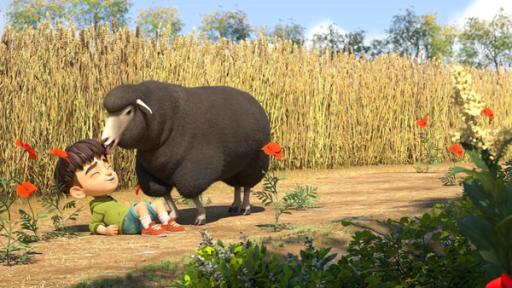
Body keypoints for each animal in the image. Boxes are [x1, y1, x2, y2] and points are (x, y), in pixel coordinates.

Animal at [97, 80, 270, 225]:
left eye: (128, 112)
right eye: (108, 113)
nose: (105, 140)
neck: (167, 124)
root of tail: (253, 100)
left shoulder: (194, 169)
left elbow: (191, 191)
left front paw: (201, 216)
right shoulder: (152, 172)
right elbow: (164, 194)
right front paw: (173, 214)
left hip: (254, 162)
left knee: (247, 186)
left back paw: (245, 208)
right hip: (235, 167)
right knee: (237, 186)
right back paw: (234, 205)